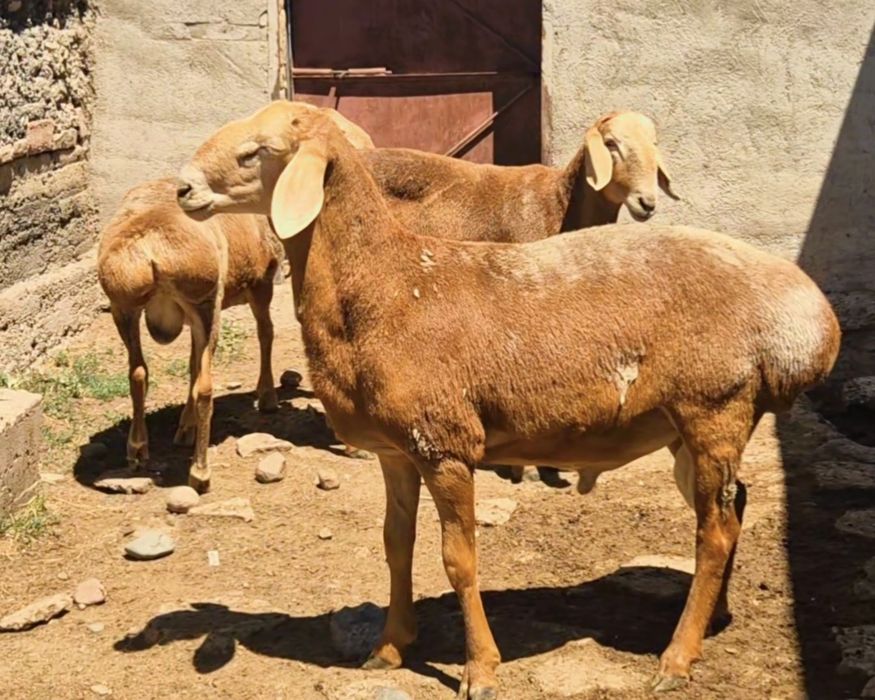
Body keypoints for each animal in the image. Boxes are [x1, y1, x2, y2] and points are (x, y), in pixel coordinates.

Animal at [97, 178, 283, 492]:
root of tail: (151, 250)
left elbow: (191, 365)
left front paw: (184, 428)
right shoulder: (261, 284)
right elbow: (265, 333)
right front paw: (267, 397)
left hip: (123, 309)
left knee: (138, 372)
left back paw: (137, 449)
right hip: (208, 305)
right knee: (206, 386)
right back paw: (200, 473)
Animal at [176, 103, 840, 697]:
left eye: (256, 151)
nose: (182, 188)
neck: (385, 286)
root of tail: (813, 321)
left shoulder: (445, 445)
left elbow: (458, 560)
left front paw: (481, 671)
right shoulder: (396, 451)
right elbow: (396, 546)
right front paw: (389, 647)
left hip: (715, 406)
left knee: (715, 532)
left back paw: (676, 659)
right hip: (688, 426)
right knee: (734, 508)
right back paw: (715, 617)